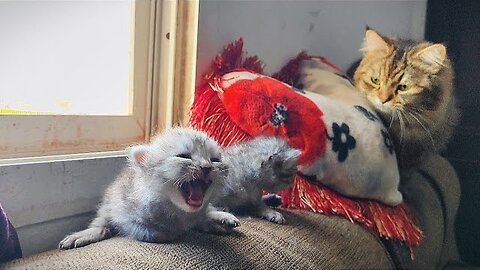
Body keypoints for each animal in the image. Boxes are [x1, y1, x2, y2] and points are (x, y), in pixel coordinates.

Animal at [59, 127, 239, 249]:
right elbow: (144, 230)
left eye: (214, 160)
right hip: (109, 205)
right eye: (183, 156)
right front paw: (165, 233)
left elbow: (202, 214)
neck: (177, 211)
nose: (206, 167)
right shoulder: (125, 213)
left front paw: (214, 219)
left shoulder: (197, 212)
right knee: (102, 223)